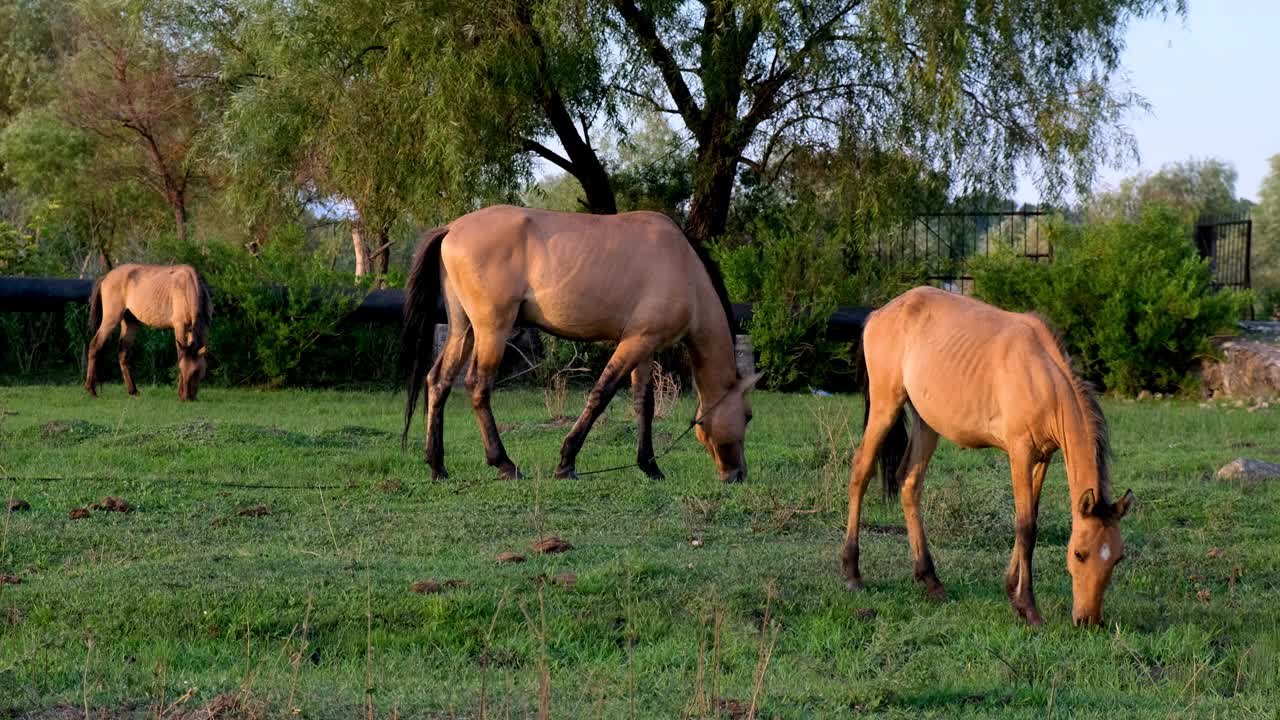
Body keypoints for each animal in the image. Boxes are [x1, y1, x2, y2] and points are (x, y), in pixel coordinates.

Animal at [85, 262, 211, 399]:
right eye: (181, 370)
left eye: (196, 371)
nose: (187, 397)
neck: (188, 286)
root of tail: (106, 277)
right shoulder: (179, 326)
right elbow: (179, 354)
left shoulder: (199, 329)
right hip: (111, 319)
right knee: (95, 345)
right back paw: (91, 389)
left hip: (130, 322)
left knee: (123, 353)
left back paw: (133, 390)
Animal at [404, 204, 752, 479]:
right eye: (748, 416)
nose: (738, 475)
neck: (683, 268)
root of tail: (451, 228)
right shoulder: (635, 343)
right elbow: (601, 394)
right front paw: (566, 462)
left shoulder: (644, 346)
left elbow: (644, 403)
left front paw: (650, 466)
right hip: (492, 330)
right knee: (478, 386)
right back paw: (504, 464)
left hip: (463, 330)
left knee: (438, 381)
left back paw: (437, 465)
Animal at [844, 285, 1136, 622]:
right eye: (1080, 553)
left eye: (1117, 558)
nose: (1089, 621)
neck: (1042, 377)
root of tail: (879, 314)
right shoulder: (1020, 453)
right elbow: (1027, 527)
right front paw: (1028, 608)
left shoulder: (1043, 458)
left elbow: (1030, 519)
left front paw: (1012, 592)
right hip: (885, 406)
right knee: (861, 471)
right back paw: (852, 573)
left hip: (926, 423)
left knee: (909, 483)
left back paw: (931, 581)